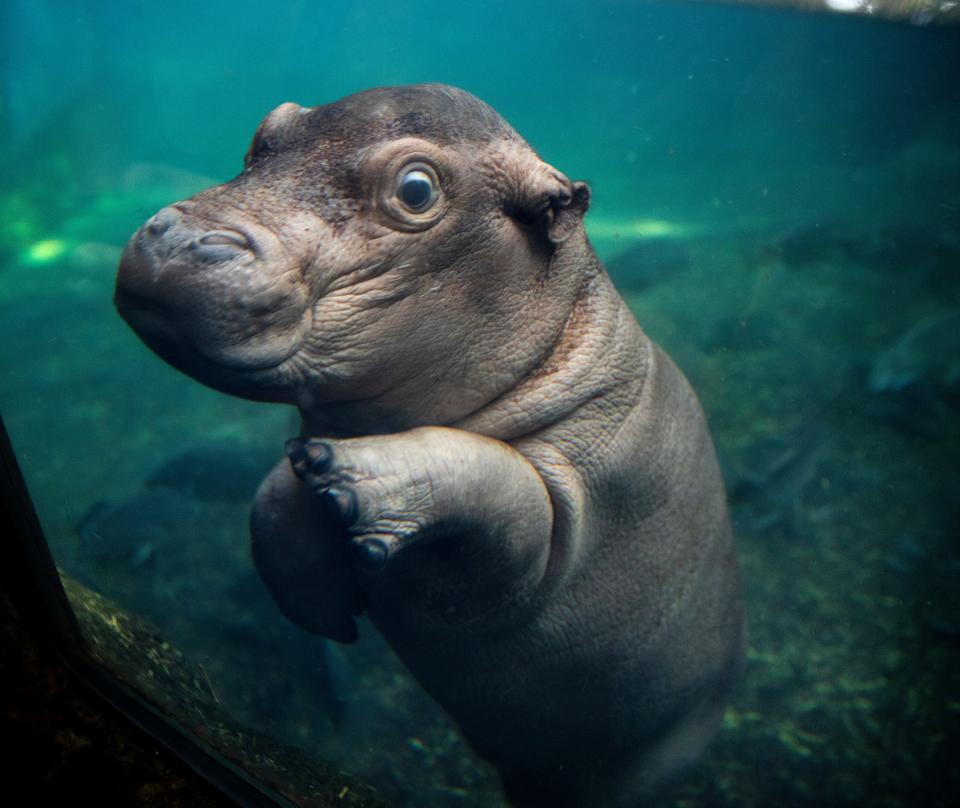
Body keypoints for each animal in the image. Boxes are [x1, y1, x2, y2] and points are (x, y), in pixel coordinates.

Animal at [116, 85, 748, 804]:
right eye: (264, 134)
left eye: (416, 190)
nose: (176, 242)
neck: (558, 338)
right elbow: (272, 491)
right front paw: (326, 604)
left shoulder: (567, 512)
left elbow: (500, 483)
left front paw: (352, 482)